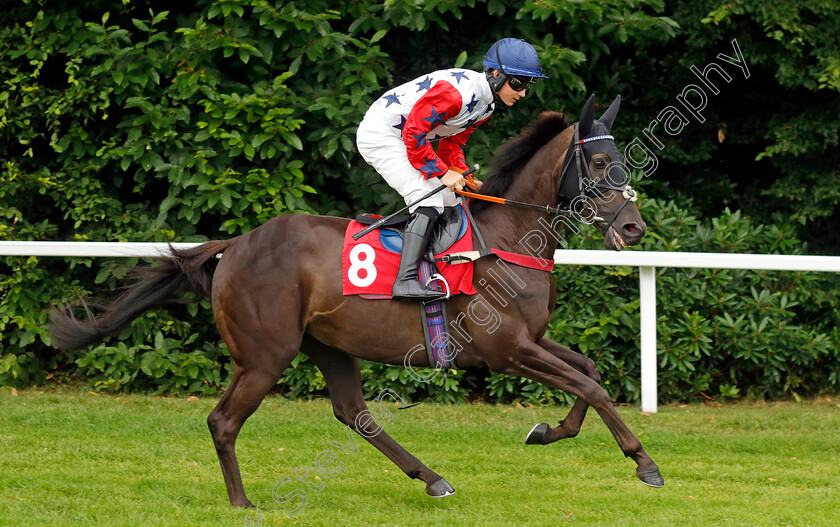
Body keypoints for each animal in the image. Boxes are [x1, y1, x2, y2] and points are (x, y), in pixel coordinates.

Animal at [49, 94, 664, 508]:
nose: (633, 227)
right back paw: (242, 502)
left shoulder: (530, 340)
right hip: (265, 354)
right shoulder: (506, 350)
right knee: (223, 421)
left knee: (356, 415)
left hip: (327, 344)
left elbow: (589, 370)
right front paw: (645, 464)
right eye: (601, 164)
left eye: (623, 161)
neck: (509, 237)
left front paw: (548, 431)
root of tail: (236, 244)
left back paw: (432, 478)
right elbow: (592, 385)